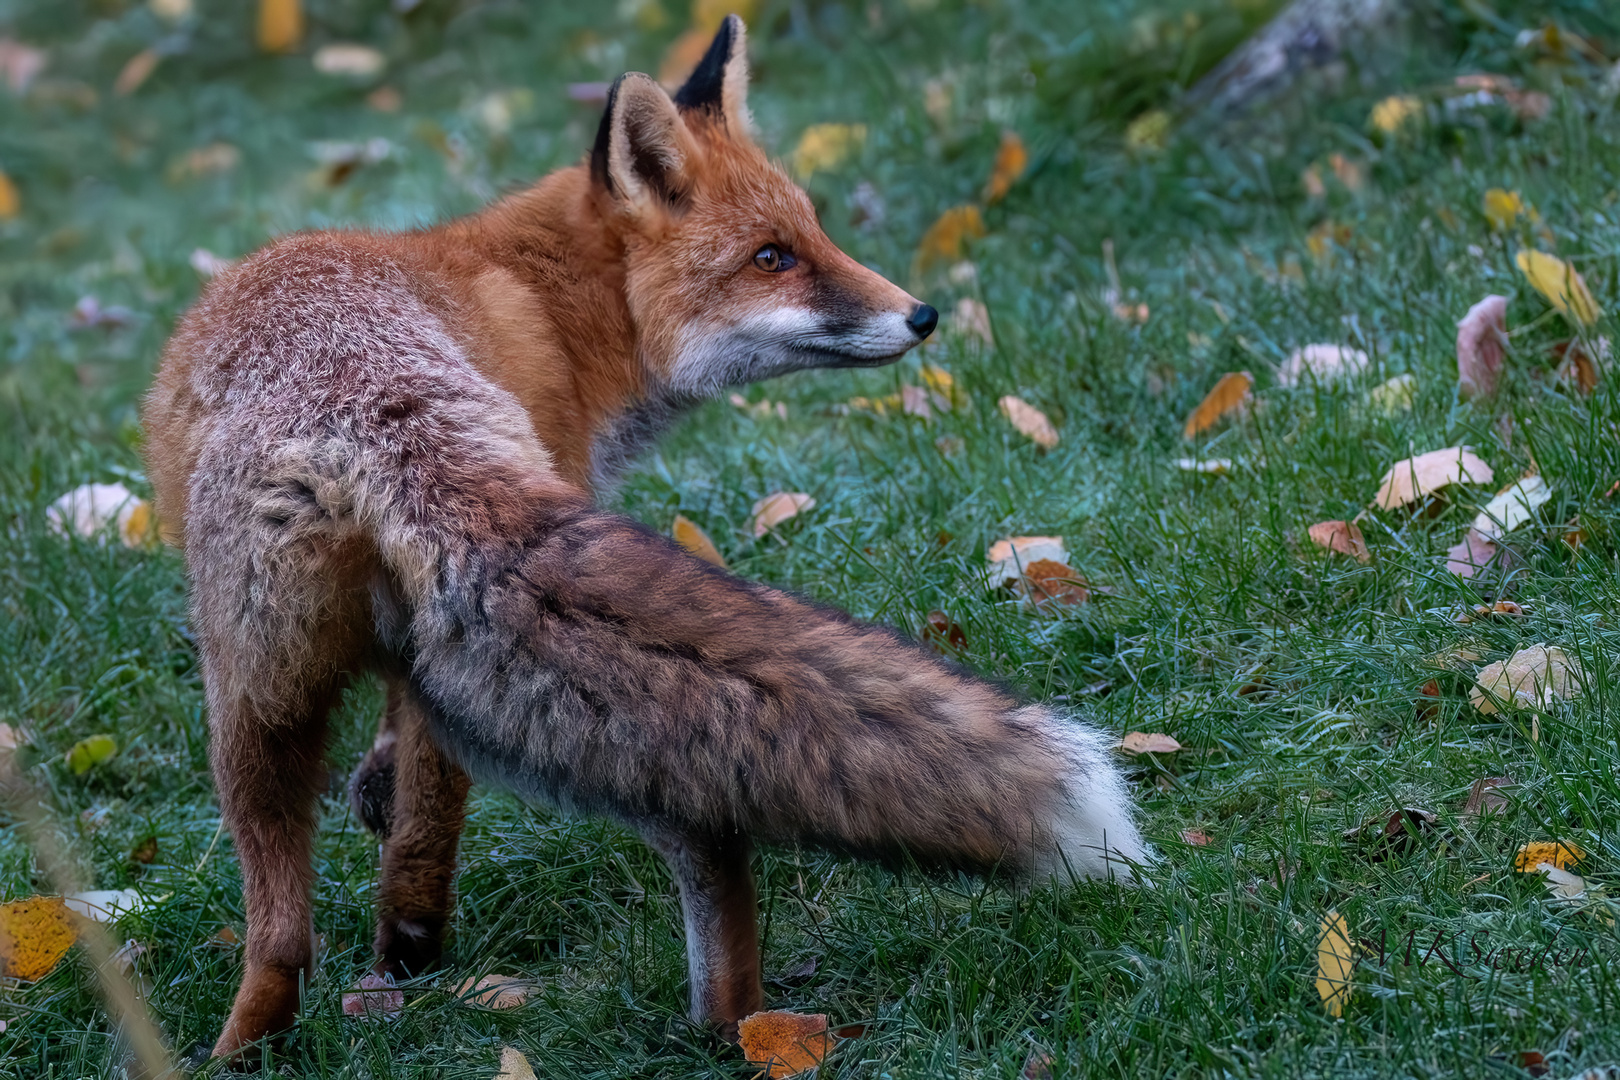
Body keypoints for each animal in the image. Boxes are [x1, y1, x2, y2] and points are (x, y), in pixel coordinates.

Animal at [142, 14, 1153, 1062]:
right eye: (771, 257)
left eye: (816, 233)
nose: (922, 314)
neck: (548, 306)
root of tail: (372, 412)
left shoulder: (418, 627)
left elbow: (399, 744)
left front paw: (379, 797)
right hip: (258, 697)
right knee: (306, 921)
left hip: (299, 701)